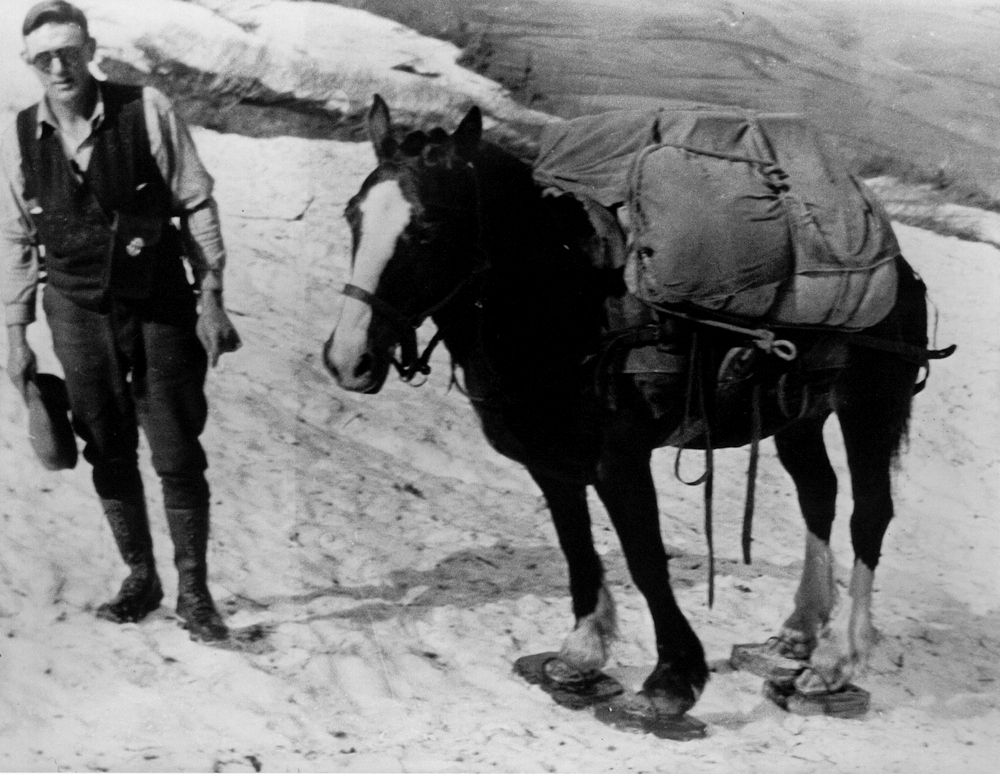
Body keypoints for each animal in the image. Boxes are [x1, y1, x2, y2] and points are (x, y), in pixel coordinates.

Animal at [323, 95, 943, 724]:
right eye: (352, 216)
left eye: (427, 230)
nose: (348, 359)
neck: (569, 302)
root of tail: (902, 271)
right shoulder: (548, 461)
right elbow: (576, 544)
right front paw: (581, 653)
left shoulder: (620, 460)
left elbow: (644, 557)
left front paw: (674, 679)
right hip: (799, 416)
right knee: (819, 494)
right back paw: (797, 633)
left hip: (870, 406)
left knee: (870, 513)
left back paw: (836, 662)